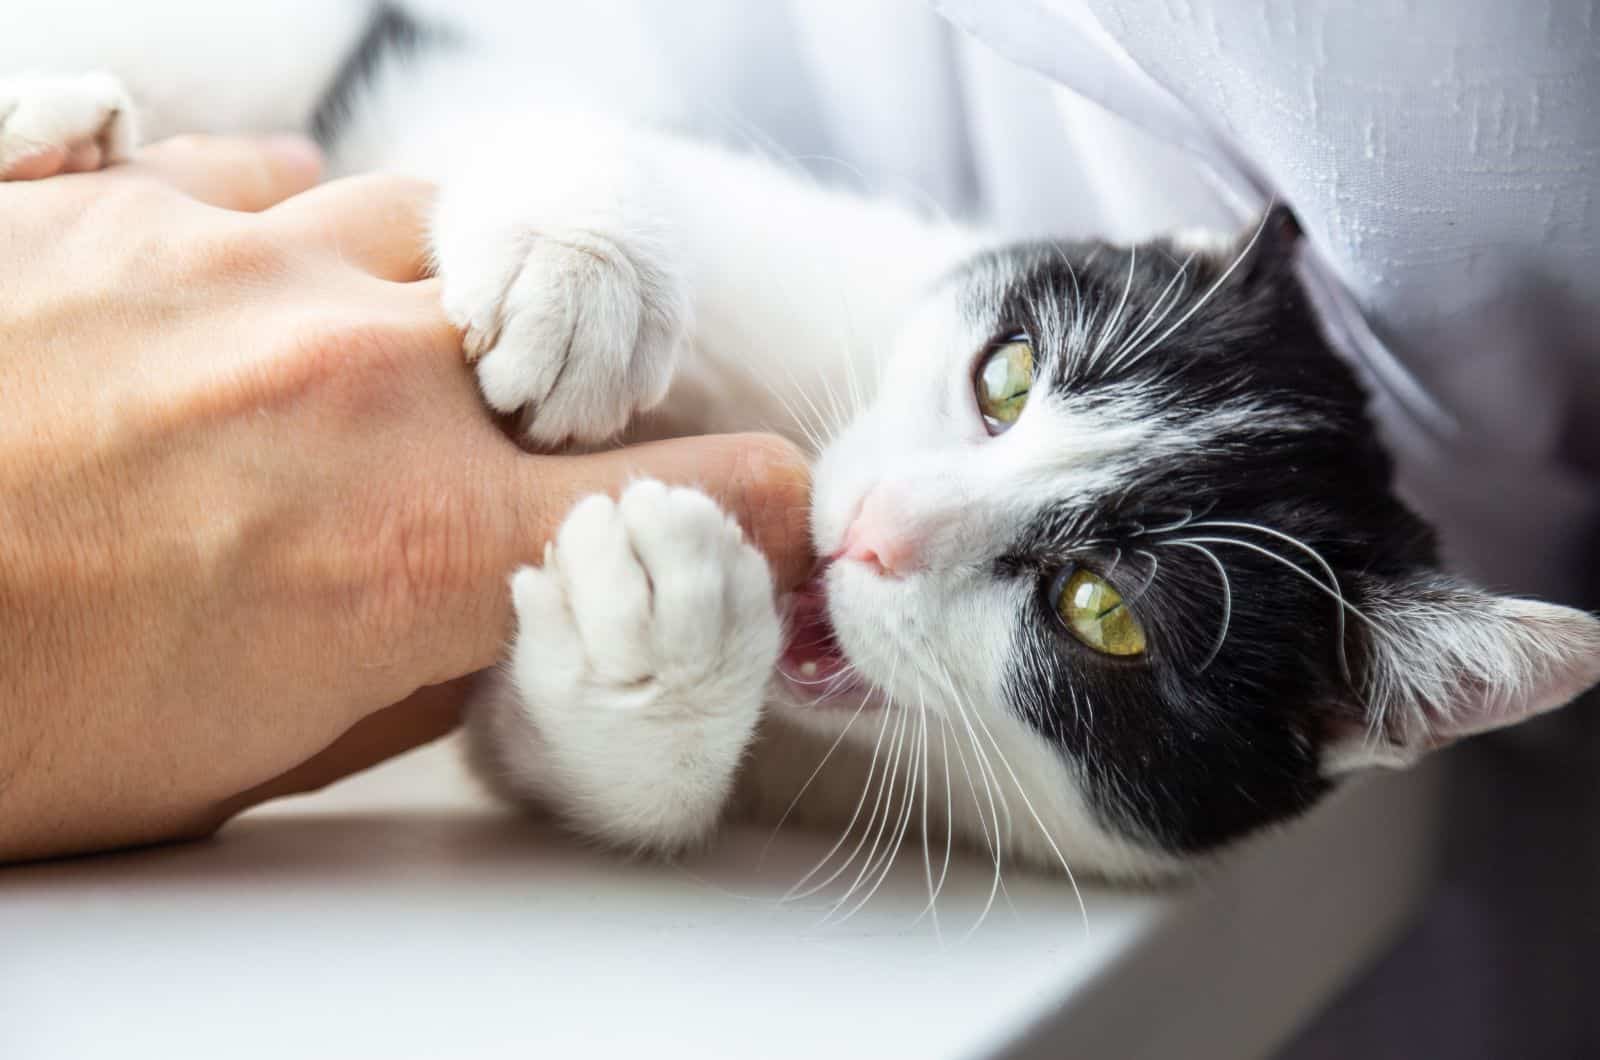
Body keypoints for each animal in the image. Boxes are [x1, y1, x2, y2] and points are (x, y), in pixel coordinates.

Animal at [6, 4, 1593, 890]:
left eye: (1104, 614)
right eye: (1006, 376)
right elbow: (524, 100)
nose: (874, 525)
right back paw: (55, 119)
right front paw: (580, 261)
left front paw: (653, 642)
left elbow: (551, 761)